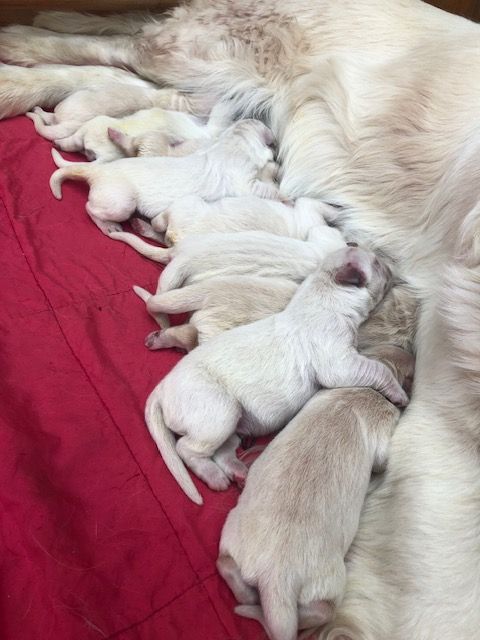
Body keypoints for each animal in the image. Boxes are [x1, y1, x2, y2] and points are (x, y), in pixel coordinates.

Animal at [49, 119, 278, 234]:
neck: (232, 143)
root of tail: (98, 171)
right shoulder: (244, 180)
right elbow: (263, 189)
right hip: (120, 202)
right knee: (90, 208)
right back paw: (109, 226)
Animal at [219, 344, 414, 640]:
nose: (410, 349)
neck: (364, 389)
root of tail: (276, 579)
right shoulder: (384, 432)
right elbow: (381, 461)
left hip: (234, 535)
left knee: (230, 569)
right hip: (328, 583)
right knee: (320, 610)